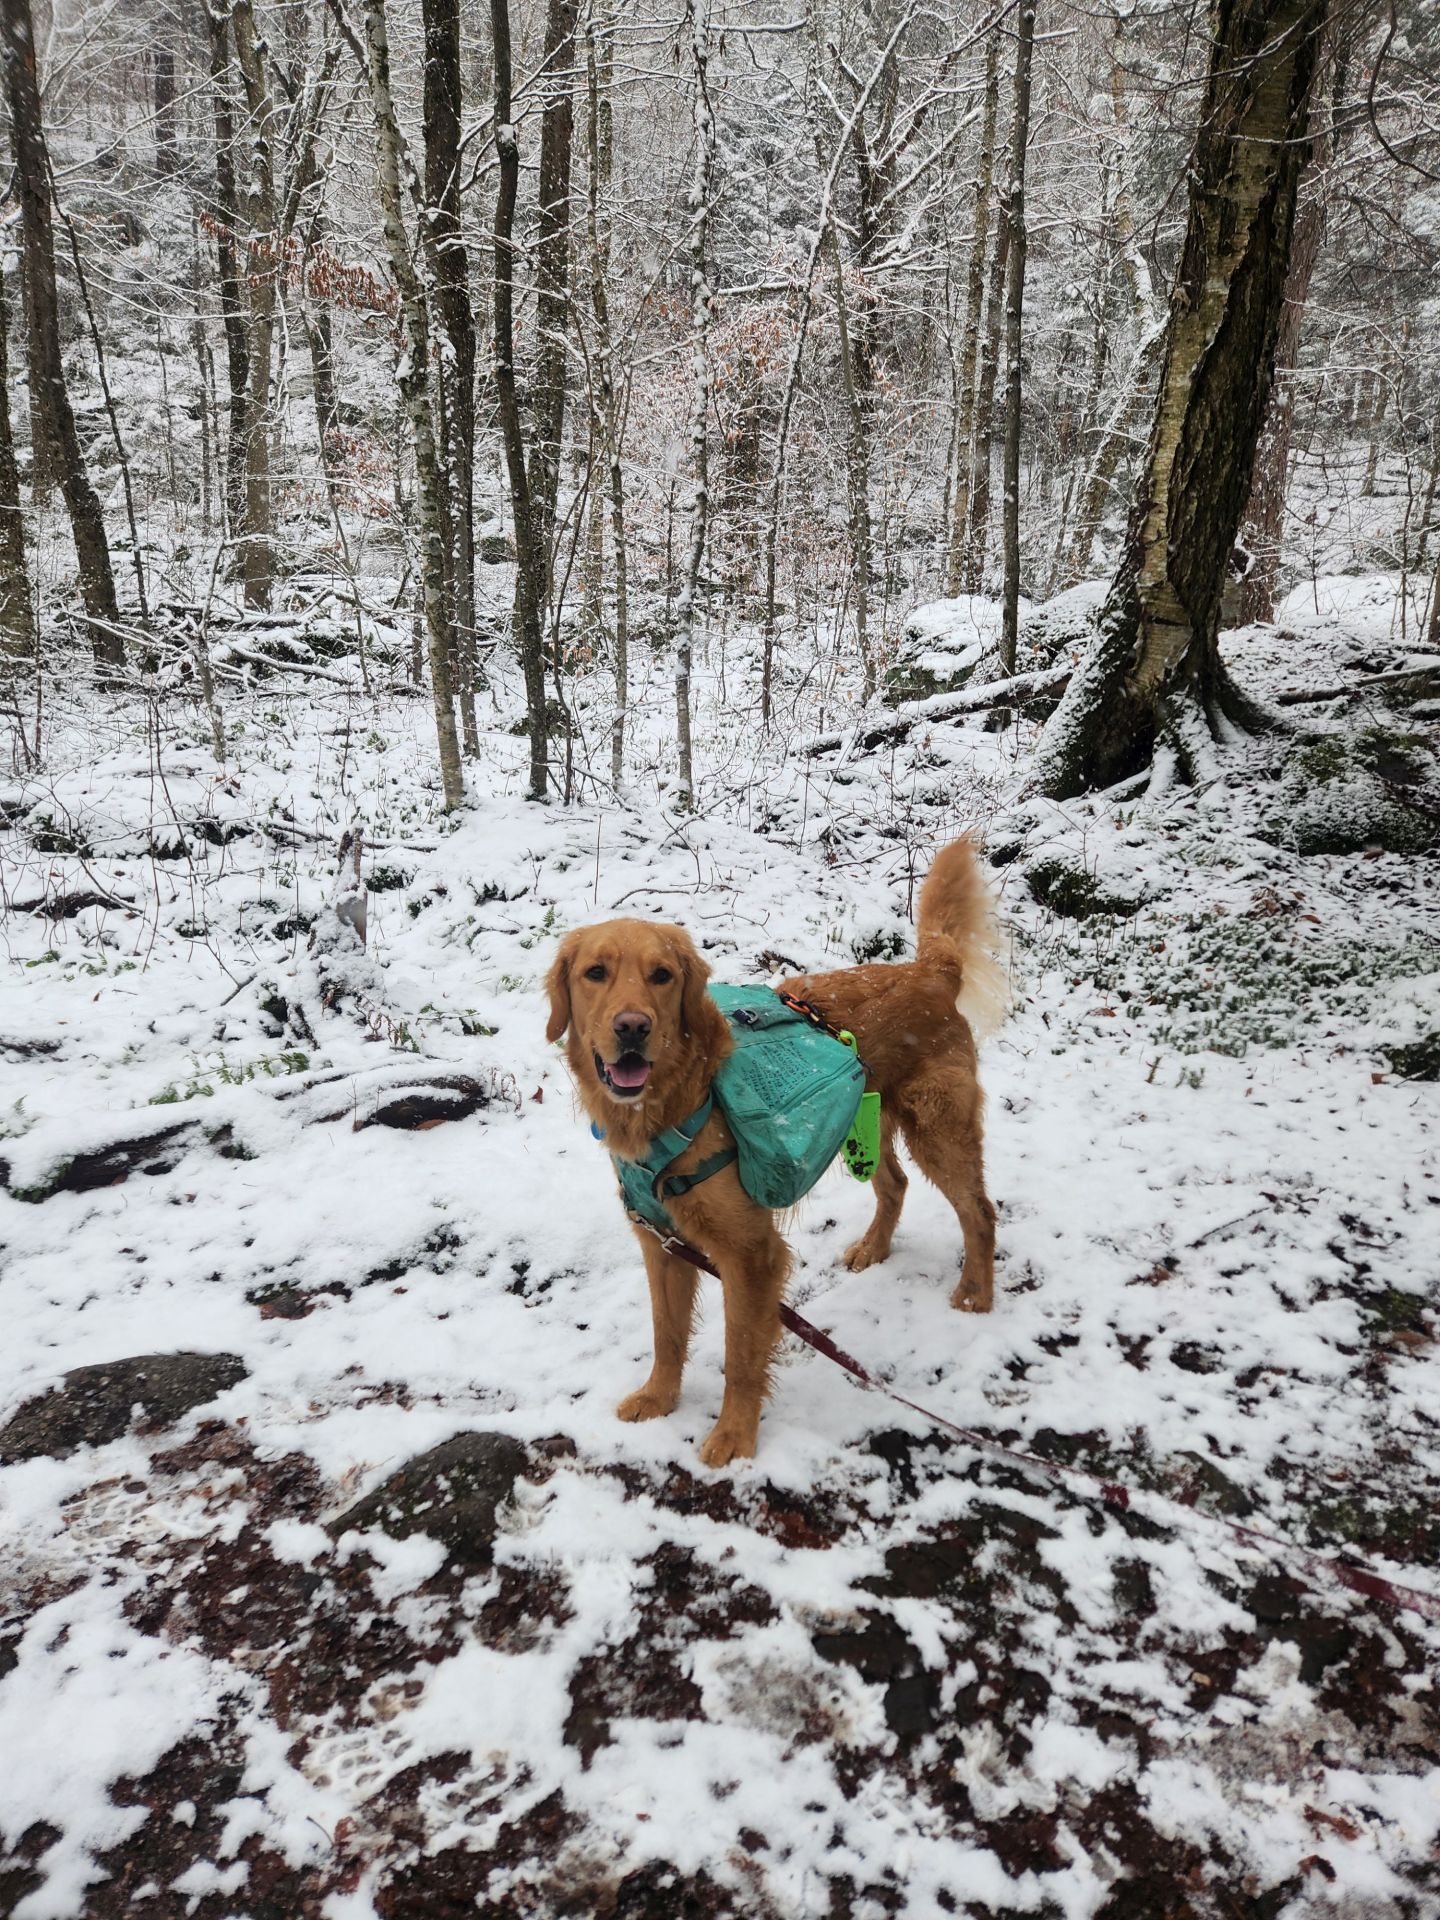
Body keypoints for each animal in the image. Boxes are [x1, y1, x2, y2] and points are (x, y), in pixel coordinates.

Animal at [544, 834, 1007, 1467]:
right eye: (596, 973)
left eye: (662, 976)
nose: (633, 1027)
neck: (678, 1107)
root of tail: (931, 970)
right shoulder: (662, 1243)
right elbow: (667, 1335)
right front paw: (659, 1398)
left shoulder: (751, 1255)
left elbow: (741, 1354)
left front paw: (735, 1436)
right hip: (866, 1122)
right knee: (896, 1186)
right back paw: (873, 1249)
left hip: (938, 1129)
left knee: (979, 1211)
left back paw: (976, 1294)